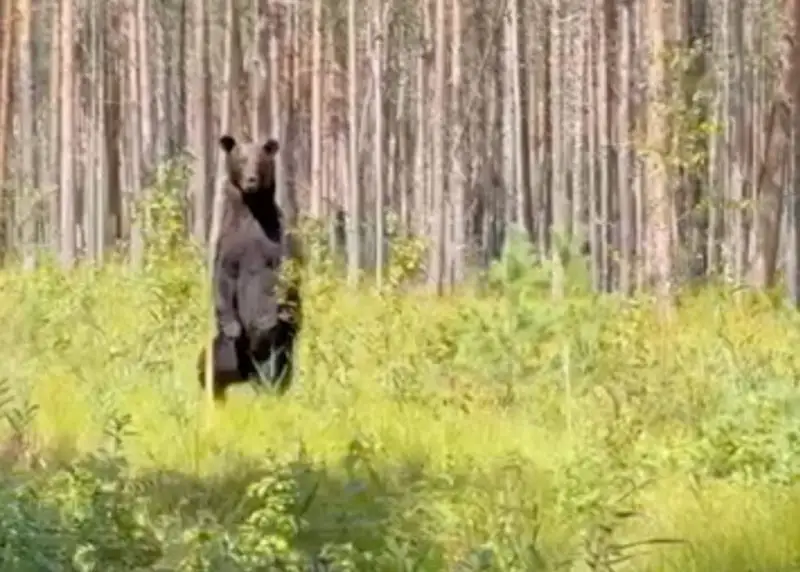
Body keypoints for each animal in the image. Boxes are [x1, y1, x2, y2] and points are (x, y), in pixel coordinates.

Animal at [197, 134, 302, 402]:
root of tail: (244, 373)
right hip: (225, 350)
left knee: (274, 370)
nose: (251, 180)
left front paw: (264, 320)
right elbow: (223, 278)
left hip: (280, 347)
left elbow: (281, 276)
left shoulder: (277, 239)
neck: (251, 211)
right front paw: (233, 325)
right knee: (209, 364)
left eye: (260, 161)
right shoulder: (228, 242)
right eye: (241, 159)